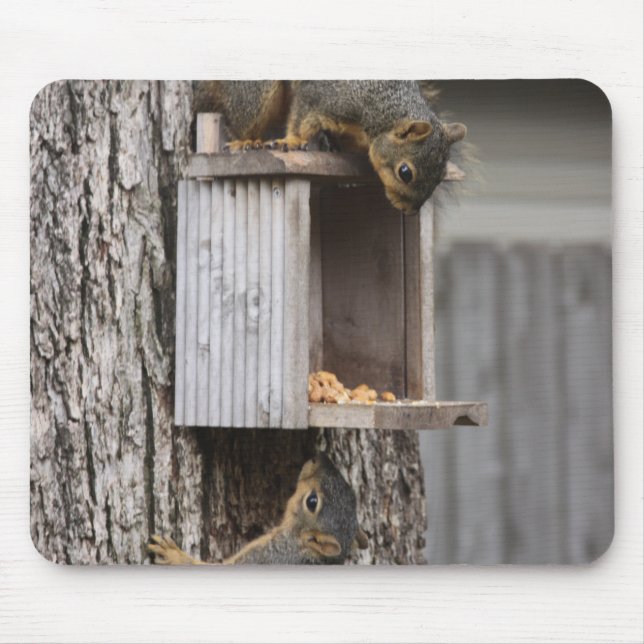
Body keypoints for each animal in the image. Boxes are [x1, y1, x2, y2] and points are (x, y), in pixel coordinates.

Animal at [148, 453, 368, 565]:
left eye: (312, 501)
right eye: (351, 491)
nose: (320, 456)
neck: (293, 544)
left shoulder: (261, 557)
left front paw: (173, 555)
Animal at [193, 80, 467, 214]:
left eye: (441, 177)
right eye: (405, 172)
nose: (410, 211)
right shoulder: (324, 97)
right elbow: (302, 115)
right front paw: (292, 140)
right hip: (257, 93)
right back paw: (246, 141)